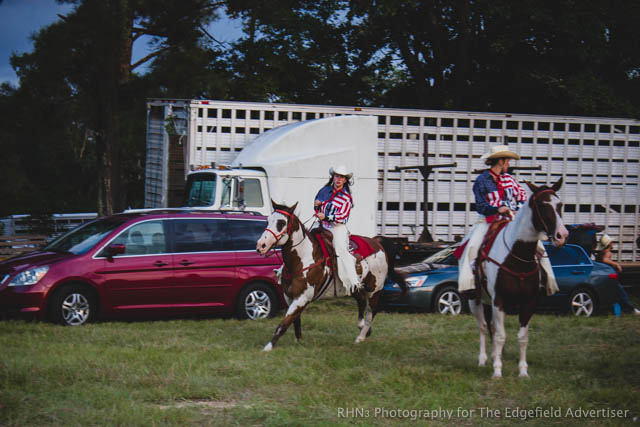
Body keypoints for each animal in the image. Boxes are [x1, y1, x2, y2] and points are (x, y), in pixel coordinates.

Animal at [255, 201, 404, 352]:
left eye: (281, 223)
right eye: (268, 220)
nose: (261, 245)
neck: (302, 259)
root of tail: (377, 243)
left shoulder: (302, 297)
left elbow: (284, 324)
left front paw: (268, 347)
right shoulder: (290, 297)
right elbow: (295, 321)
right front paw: (298, 340)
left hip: (374, 289)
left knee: (371, 312)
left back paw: (361, 337)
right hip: (352, 286)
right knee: (362, 301)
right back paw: (362, 328)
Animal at [468, 179, 568, 380]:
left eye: (559, 205)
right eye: (542, 204)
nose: (562, 235)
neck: (516, 256)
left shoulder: (528, 302)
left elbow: (522, 337)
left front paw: (523, 371)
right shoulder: (499, 300)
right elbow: (500, 336)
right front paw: (497, 371)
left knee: (490, 327)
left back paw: (493, 356)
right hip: (475, 300)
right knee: (483, 327)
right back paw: (483, 360)